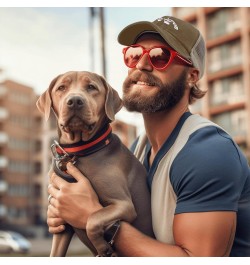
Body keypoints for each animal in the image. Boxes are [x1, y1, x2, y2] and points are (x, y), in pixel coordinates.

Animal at [36, 70, 154, 256]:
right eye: (61, 88)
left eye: (91, 87)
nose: (74, 101)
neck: (79, 153)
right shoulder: (61, 223)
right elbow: (55, 253)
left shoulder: (124, 205)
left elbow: (93, 219)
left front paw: (103, 247)